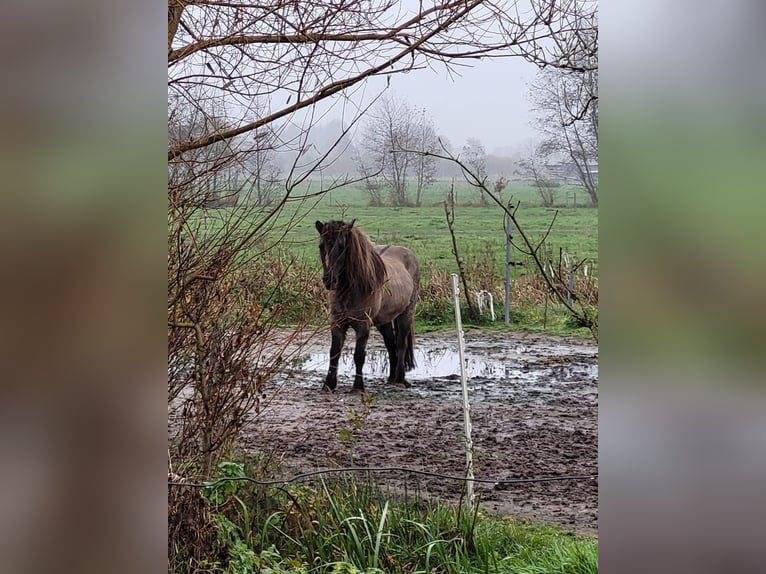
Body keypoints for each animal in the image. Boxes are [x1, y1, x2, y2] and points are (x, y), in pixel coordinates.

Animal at [316, 222, 424, 396]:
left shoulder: (363, 326)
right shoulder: (337, 323)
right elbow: (334, 353)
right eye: (321, 245)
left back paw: (400, 379)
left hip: (405, 315)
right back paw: (391, 377)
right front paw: (329, 385)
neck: (350, 289)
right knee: (390, 344)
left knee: (401, 345)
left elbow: (359, 356)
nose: (329, 280)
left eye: (342, 246)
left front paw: (358, 387)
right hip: (384, 322)